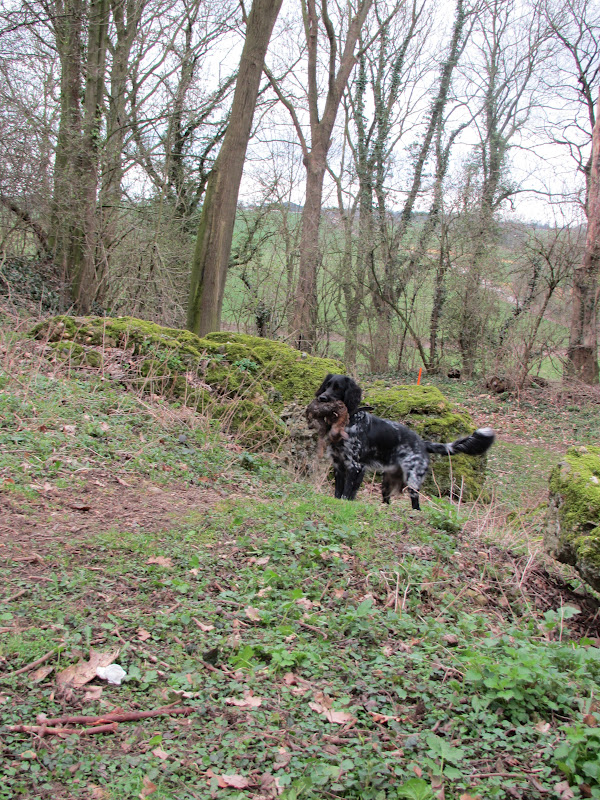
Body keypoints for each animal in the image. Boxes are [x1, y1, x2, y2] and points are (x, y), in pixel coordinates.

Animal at [313, 373, 495, 510]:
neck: (348, 421)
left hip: (413, 480)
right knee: (388, 500)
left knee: (416, 505)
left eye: (338, 388)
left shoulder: (355, 466)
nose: (322, 398)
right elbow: (339, 492)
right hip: (387, 481)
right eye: (327, 385)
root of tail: (422, 443)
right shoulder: (339, 464)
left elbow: (347, 492)